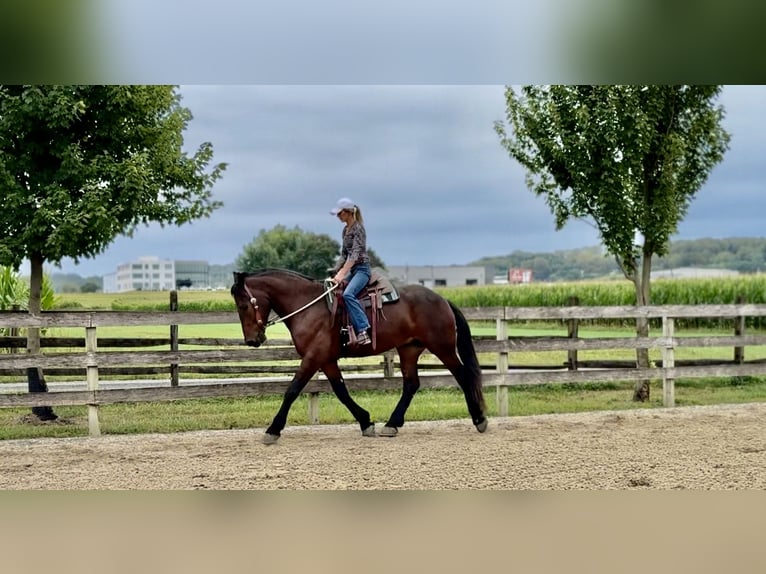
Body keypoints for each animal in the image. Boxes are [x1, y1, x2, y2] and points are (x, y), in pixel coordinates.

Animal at [230, 269, 487, 444]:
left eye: (243, 305)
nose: (252, 340)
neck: (308, 306)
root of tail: (442, 299)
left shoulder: (314, 357)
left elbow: (292, 390)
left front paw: (273, 430)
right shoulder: (327, 360)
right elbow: (341, 391)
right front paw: (365, 421)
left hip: (442, 347)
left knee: (463, 376)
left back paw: (479, 419)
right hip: (409, 349)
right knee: (411, 384)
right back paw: (392, 424)